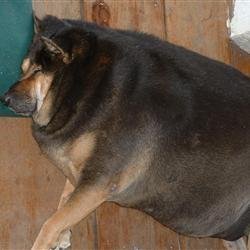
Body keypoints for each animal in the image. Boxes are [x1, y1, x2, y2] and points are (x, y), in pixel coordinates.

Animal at [0, 15, 250, 250]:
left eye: (38, 70)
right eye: (23, 69)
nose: (5, 99)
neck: (85, 85)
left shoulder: (100, 182)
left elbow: (52, 222)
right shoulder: (83, 173)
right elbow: (64, 202)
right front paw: (63, 236)